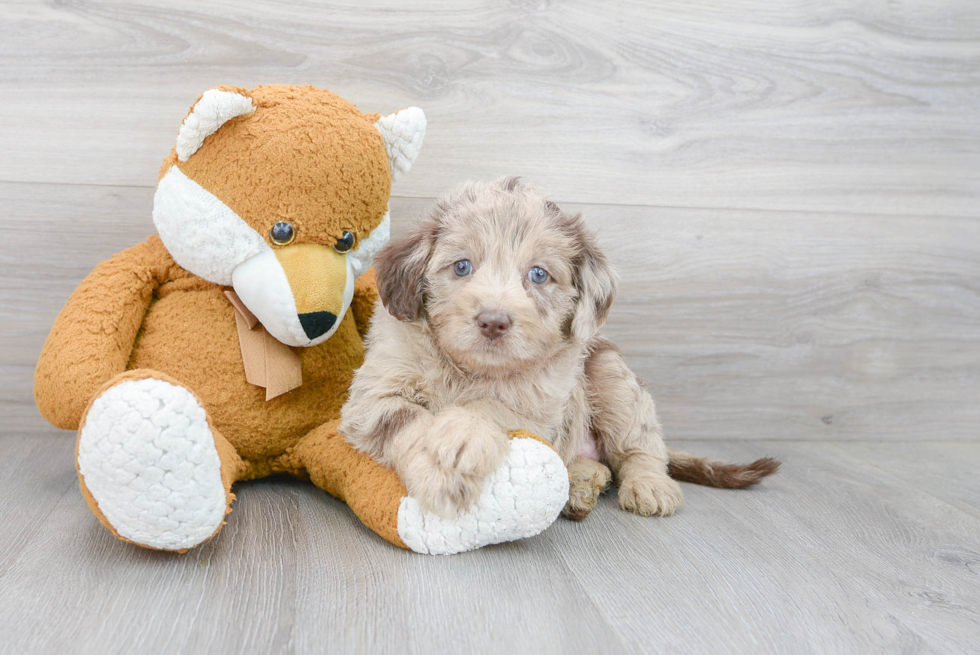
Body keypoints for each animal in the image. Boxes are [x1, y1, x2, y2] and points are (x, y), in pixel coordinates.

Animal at [340, 177, 776, 520]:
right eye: (462, 266)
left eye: (538, 274)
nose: (493, 321)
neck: (472, 370)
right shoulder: (373, 395)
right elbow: (408, 422)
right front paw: (440, 476)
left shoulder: (542, 410)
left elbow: (492, 405)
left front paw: (463, 430)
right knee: (594, 464)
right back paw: (580, 487)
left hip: (611, 373)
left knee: (640, 448)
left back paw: (649, 485)